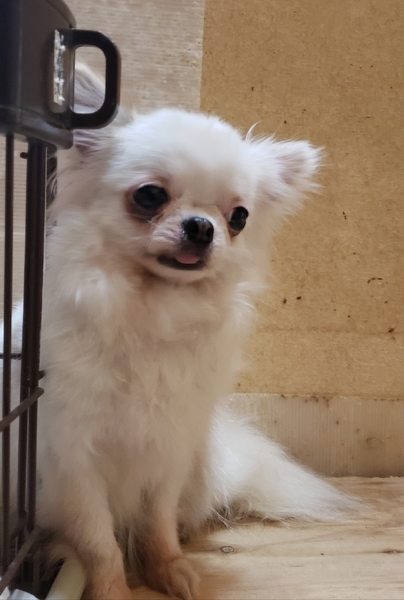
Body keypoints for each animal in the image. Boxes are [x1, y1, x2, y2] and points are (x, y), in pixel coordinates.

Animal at [5, 65, 354, 600]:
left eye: (238, 217)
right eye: (149, 196)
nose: (202, 227)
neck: (154, 310)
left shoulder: (168, 449)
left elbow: (157, 521)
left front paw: (168, 569)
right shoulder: (72, 464)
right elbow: (98, 540)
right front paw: (113, 589)